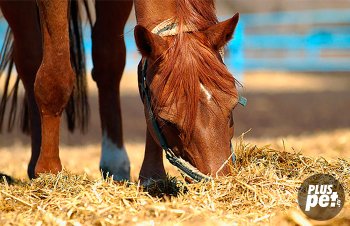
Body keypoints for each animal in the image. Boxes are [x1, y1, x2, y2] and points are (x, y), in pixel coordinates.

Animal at [0, 0, 241, 183]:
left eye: (232, 107)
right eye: (167, 121)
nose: (219, 181)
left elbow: (112, 62)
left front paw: (151, 175)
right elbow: (54, 77)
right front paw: (50, 171)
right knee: (30, 60)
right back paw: (36, 163)